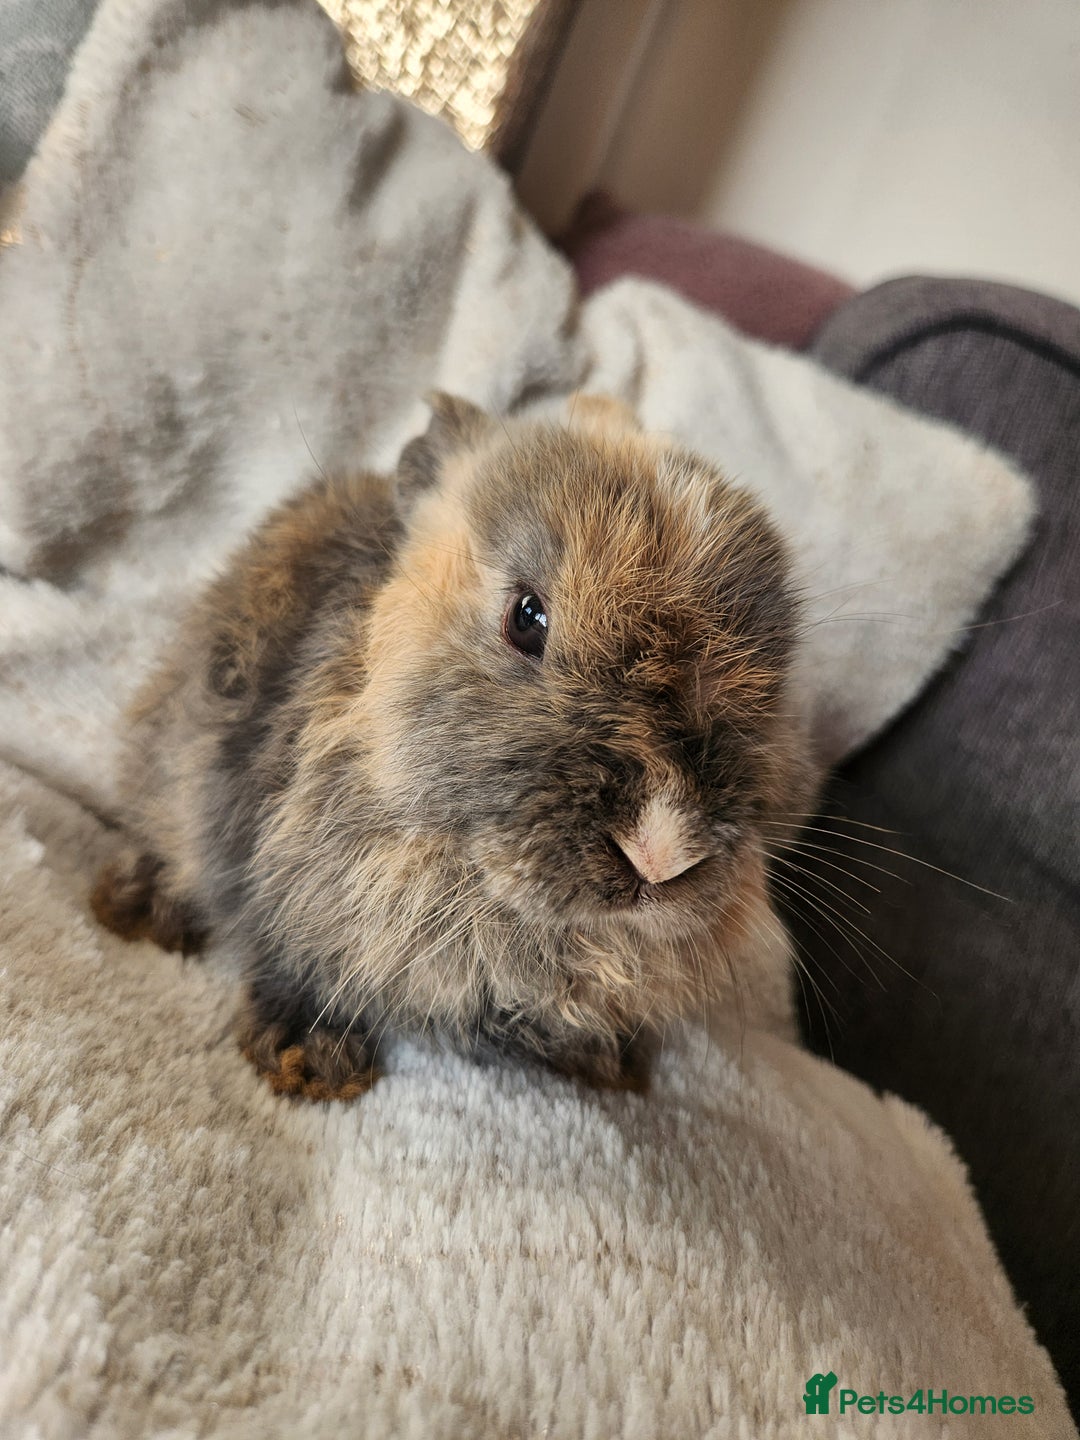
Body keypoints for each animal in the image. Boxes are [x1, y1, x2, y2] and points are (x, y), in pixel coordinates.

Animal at [92, 392, 810, 1099]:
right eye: (527, 617)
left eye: (772, 682)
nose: (661, 853)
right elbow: (292, 957)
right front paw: (312, 1062)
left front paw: (608, 1063)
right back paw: (136, 909)